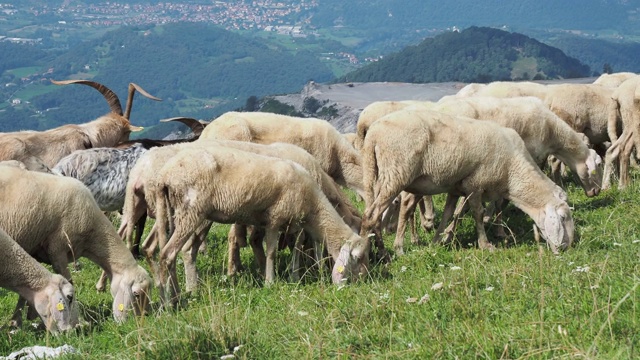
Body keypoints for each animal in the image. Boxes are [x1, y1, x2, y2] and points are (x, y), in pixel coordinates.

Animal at [0, 165, 152, 322]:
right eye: (136, 294)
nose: (144, 318)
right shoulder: (57, 250)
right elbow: (69, 282)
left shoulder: (35, 249)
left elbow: (26, 288)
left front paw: (20, 319)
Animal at [145, 146, 364, 304]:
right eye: (359, 258)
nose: (361, 284)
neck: (314, 206)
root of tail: (164, 176)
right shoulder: (276, 218)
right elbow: (272, 252)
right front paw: (270, 281)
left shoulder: (294, 223)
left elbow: (297, 248)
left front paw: (296, 275)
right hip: (192, 211)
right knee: (168, 254)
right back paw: (170, 302)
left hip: (177, 213)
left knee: (179, 252)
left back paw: (180, 293)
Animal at [360, 108, 576, 255]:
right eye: (564, 217)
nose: (568, 247)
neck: (512, 170)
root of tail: (373, 134)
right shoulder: (476, 184)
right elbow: (478, 214)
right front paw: (485, 244)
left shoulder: (456, 189)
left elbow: (449, 215)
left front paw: (437, 241)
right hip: (396, 174)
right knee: (372, 215)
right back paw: (386, 251)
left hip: (382, 176)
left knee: (378, 213)